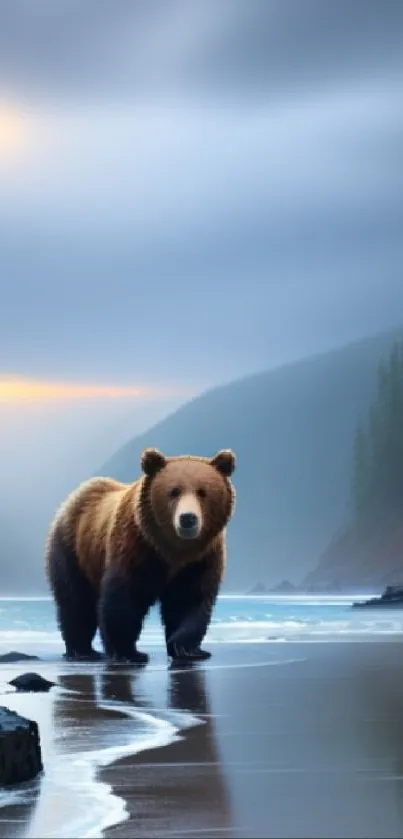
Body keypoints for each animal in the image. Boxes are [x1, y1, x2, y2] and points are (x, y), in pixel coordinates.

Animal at [45, 446, 237, 664]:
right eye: (174, 491)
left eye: (203, 492)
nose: (188, 518)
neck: (172, 550)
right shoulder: (135, 547)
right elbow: (124, 597)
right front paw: (128, 652)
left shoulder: (200, 559)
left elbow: (189, 599)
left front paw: (186, 648)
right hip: (72, 549)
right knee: (75, 600)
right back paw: (83, 651)